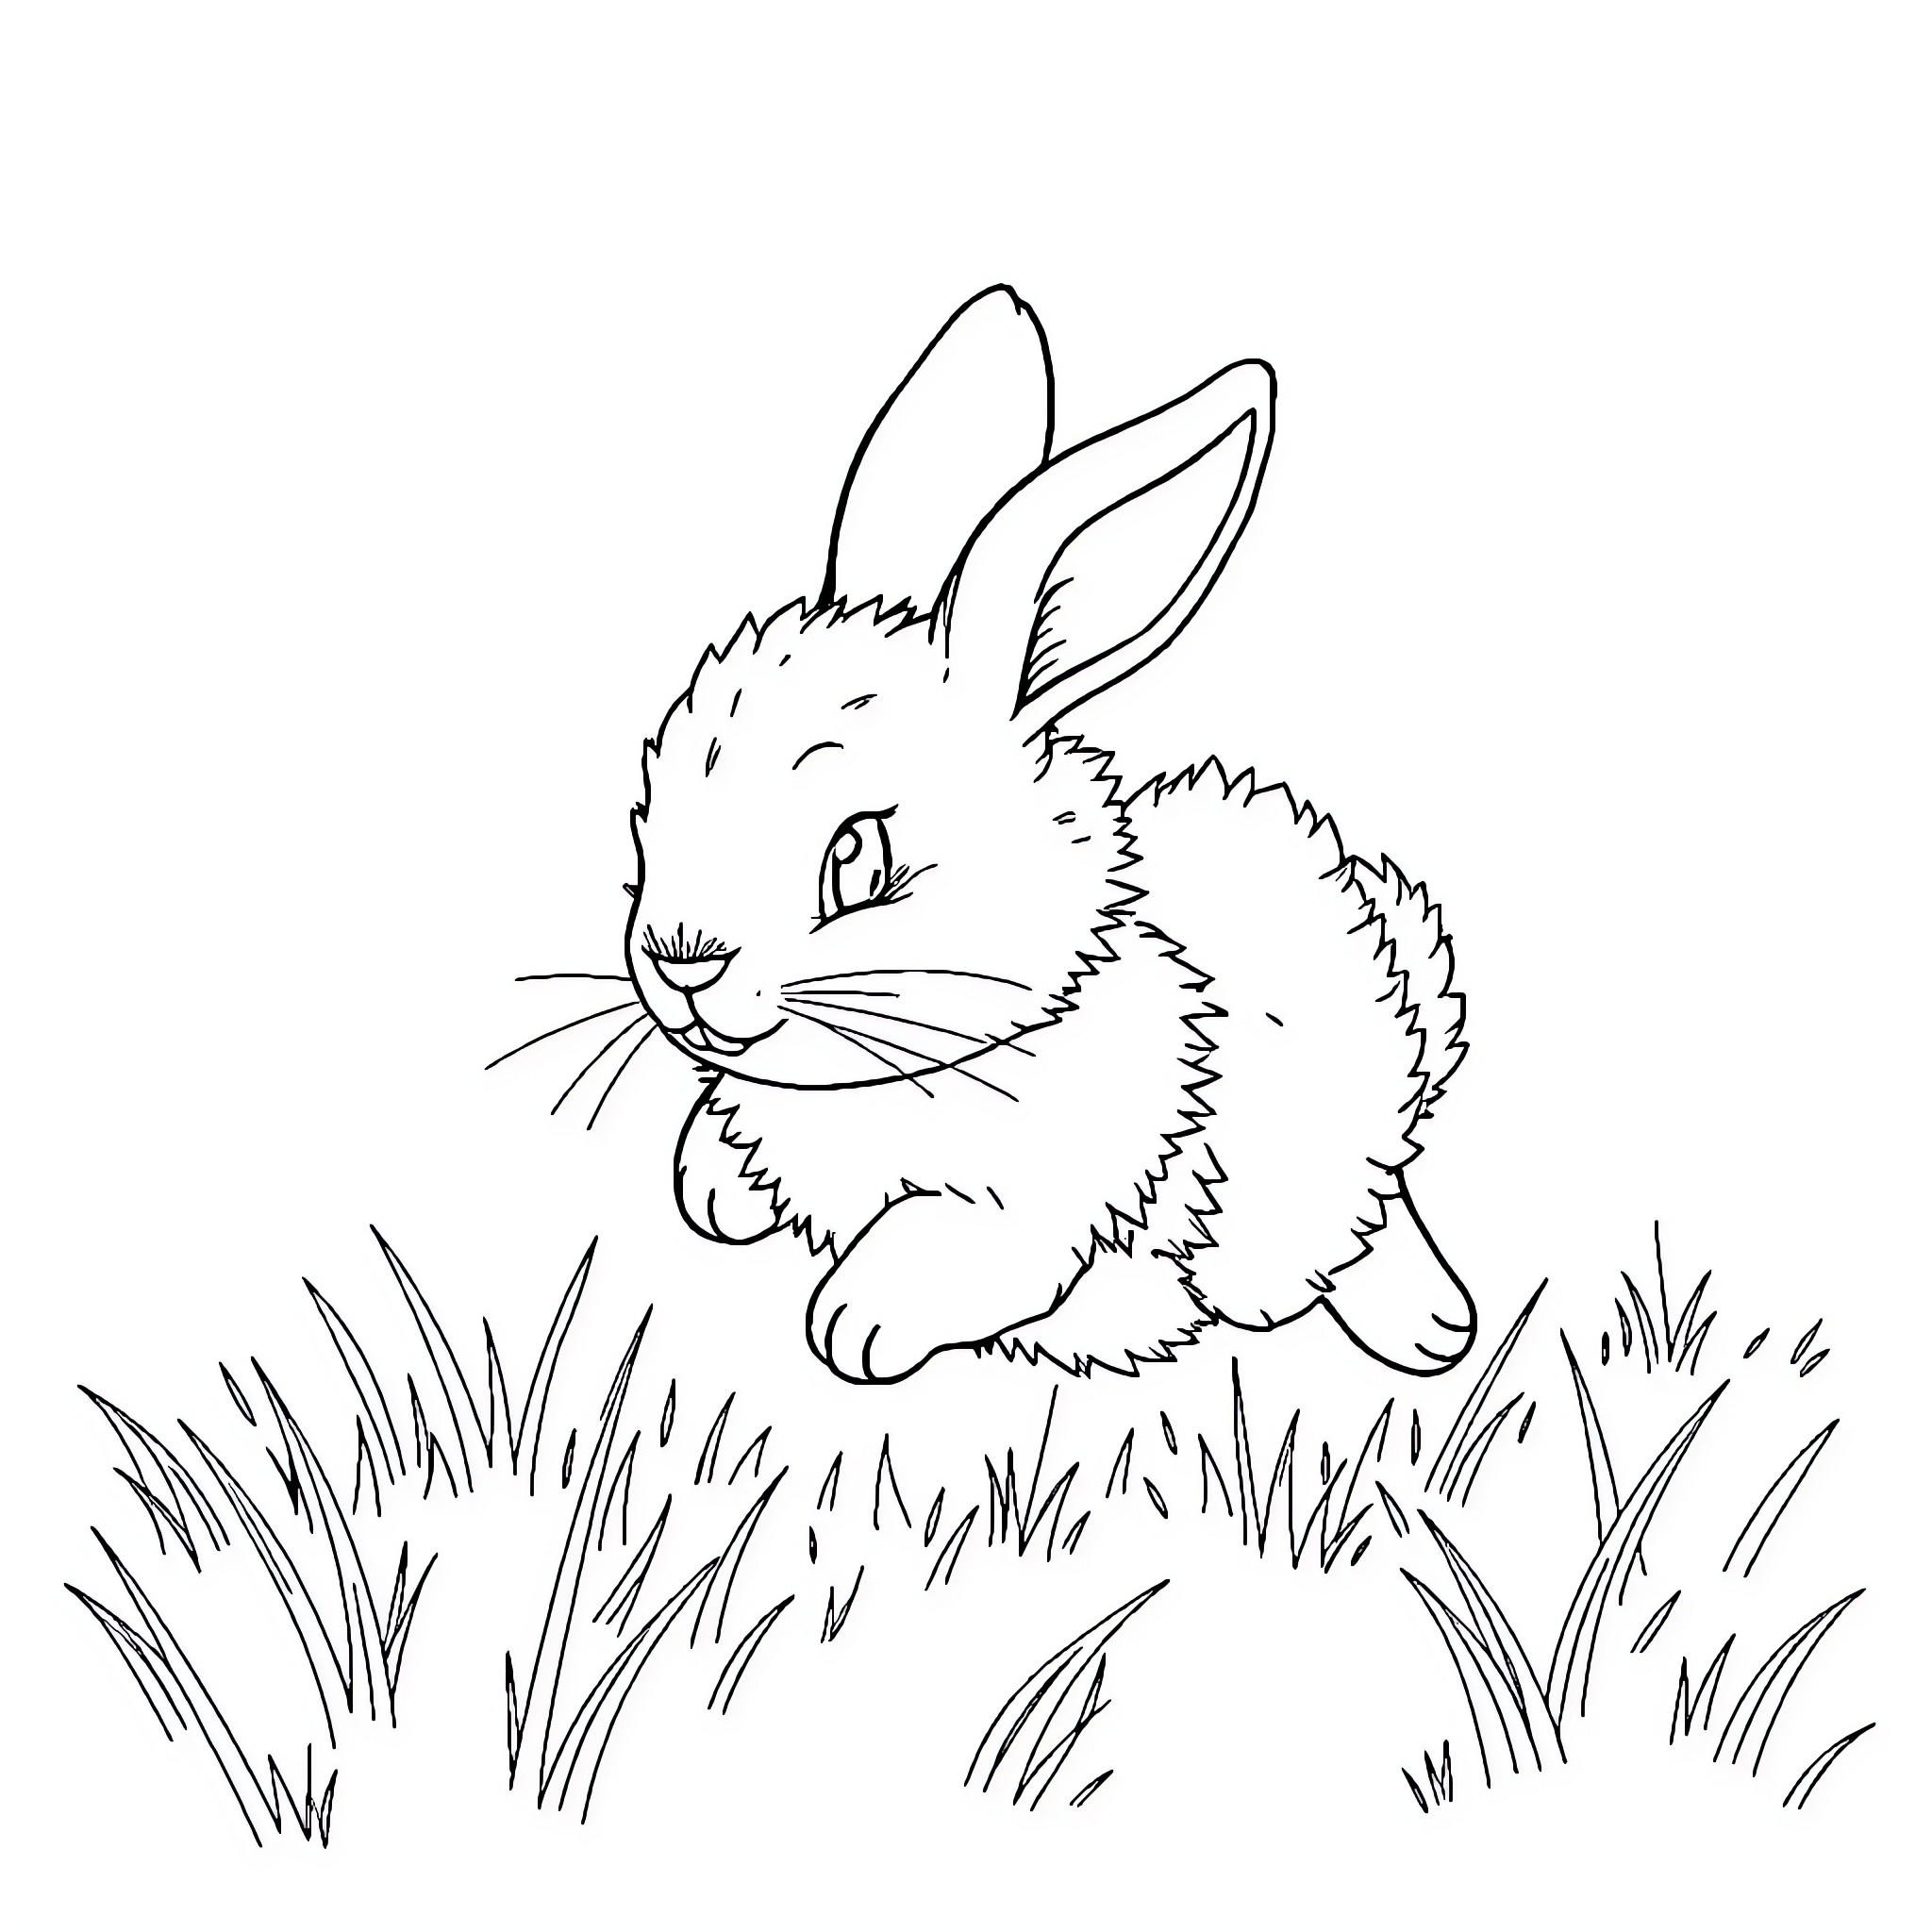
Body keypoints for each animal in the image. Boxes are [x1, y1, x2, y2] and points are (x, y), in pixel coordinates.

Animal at [618, 286, 1476, 1384]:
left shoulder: (1045, 1199)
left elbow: (948, 1246)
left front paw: (854, 1324)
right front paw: (710, 1185)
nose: (681, 961)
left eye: (857, 858)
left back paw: (1432, 1327)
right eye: (656, 804)